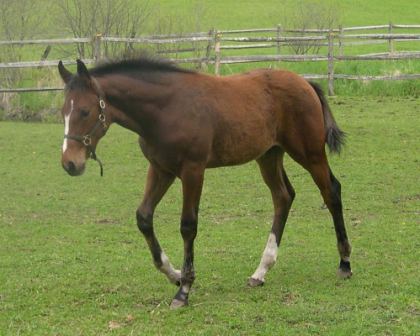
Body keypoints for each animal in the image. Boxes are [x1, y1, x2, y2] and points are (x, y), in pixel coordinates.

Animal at [58, 56, 352, 308]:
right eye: (62, 112)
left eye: (84, 111)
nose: (70, 163)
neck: (166, 109)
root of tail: (306, 83)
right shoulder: (161, 169)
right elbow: (143, 217)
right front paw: (175, 275)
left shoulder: (193, 170)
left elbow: (188, 226)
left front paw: (184, 290)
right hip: (269, 155)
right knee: (283, 196)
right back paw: (261, 271)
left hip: (309, 153)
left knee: (331, 191)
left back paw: (345, 263)